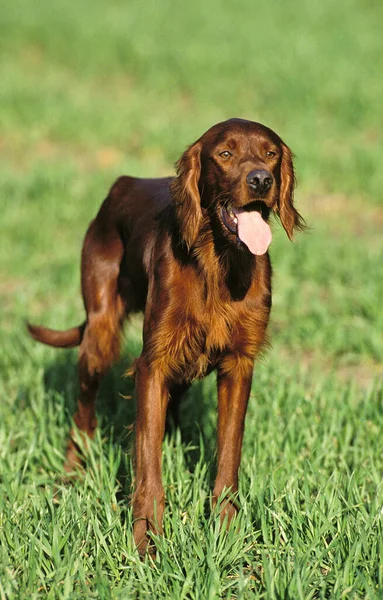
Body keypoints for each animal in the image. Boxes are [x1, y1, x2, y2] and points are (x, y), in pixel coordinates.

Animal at [27, 117, 306, 552]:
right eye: (225, 153)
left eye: (271, 153)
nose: (261, 180)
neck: (219, 260)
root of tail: (123, 184)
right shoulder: (153, 363)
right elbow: (147, 458)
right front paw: (148, 541)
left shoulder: (238, 365)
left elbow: (228, 456)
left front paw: (224, 533)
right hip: (99, 334)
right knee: (83, 412)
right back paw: (71, 476)